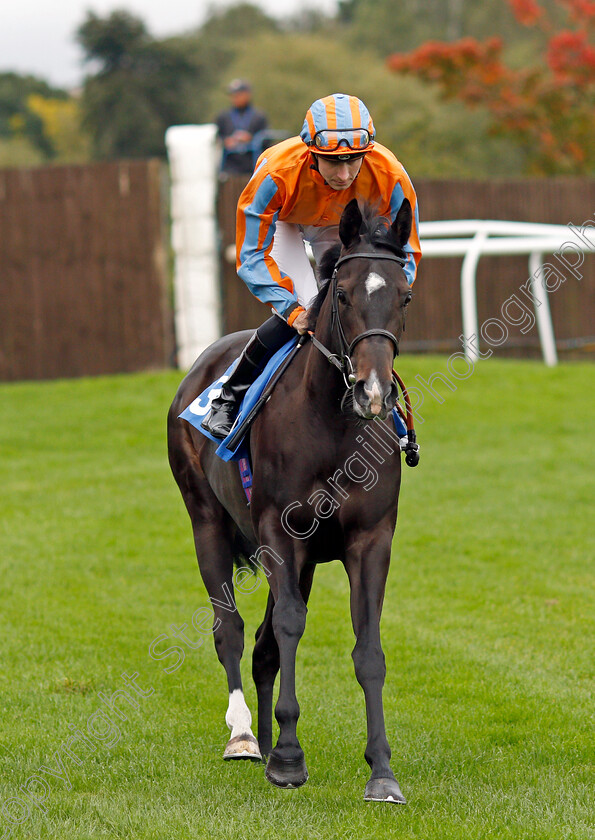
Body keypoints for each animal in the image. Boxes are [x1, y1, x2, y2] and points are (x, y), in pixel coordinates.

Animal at [169, 195, 414, 800]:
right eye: (343, 294)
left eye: (404, 296)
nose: (373, 391)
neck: (334, 427)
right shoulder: (280, 533)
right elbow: (289, 627)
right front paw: (287, 757)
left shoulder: (370, 539)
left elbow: (367, 648)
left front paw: (381, 770)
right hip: (206, 522)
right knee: (231, 631)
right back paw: (244, 737)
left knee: (260, 647)